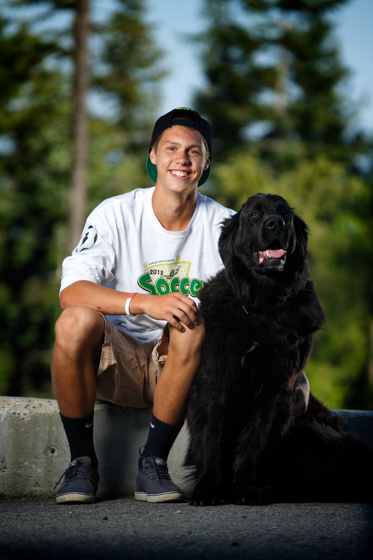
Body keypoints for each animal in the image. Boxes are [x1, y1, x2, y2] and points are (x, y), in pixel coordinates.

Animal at [186, 194, 372, 508]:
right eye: (255, 215)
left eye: (284, 214)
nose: (276, 224)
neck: (264, 306)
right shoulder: (215, 379)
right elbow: (211, 435)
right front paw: (209, 488)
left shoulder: (277, 388)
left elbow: (254, 442)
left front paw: (245, 488)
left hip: (308, 429)